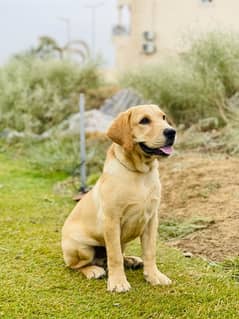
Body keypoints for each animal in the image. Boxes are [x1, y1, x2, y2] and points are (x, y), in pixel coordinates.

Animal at [62, 104, 176, 292]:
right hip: (81, 248)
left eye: (163, 117)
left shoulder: (151, 220)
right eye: (144, 120)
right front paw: (118, 282)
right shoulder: (112, 220)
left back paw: (130, 260)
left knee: (115, 256)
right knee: (75, 265)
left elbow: (150, 252)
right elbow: (114, 256)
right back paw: (93, 270)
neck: (140, 173)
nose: (171, 132)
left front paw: (153, 276)